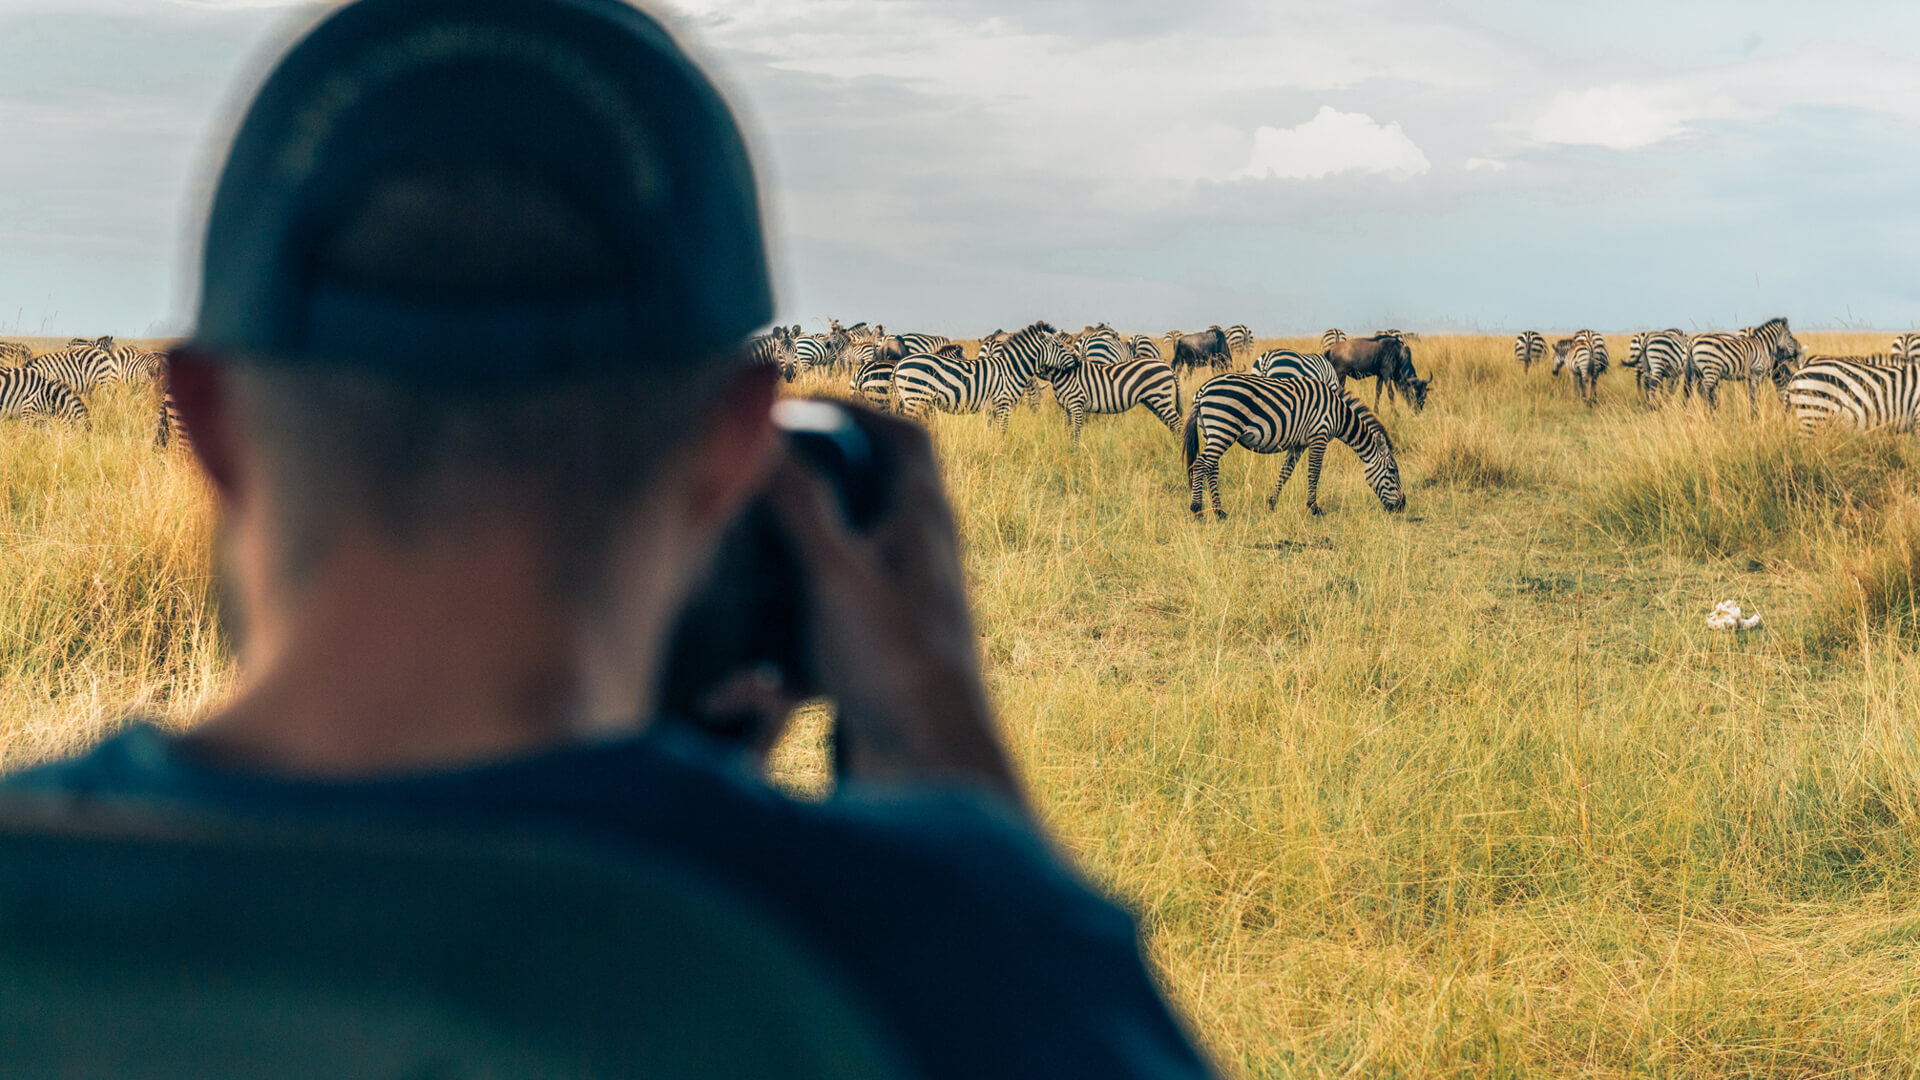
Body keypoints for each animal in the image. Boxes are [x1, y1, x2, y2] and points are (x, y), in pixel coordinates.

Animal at [1036, 350, 1182, 442]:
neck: (1062, 374)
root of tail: (1166, 365)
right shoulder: (1066, 408)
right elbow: (1067, 430)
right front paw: (1067, 446)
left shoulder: (1077, 403)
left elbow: (1076, 432)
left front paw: (1074, 452)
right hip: (1152, 401)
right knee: (1171, 424)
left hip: (1160, 397)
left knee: (1177, 423)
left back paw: (1178, 452)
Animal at [1183, 374, 1404, 519]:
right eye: (1392, 471)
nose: (1402, 506)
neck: (1338, 414)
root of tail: (1202, 391)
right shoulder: (1319, 436)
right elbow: (1314, 472)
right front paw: (1314, 508)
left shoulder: (1299, 444)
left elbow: (1286, 472)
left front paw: (1272, 502)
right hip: (1224, 428)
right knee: (1201, 464)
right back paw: (1197, 509)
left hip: (1212, 431)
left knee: (1212, 467)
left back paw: (1219, 511)